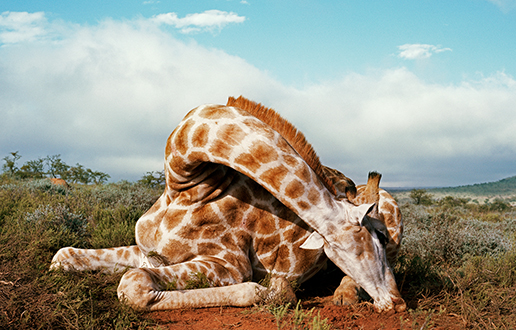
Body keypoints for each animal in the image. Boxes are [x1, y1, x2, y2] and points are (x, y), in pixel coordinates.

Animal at [52, 96, 408, 314]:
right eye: (375, 238)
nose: (398, 303)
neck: (184, 186)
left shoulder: (229, 264)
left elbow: (134, 283)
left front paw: (273, 292)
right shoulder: (148, 252)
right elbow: (63, 256)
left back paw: (344, 298)